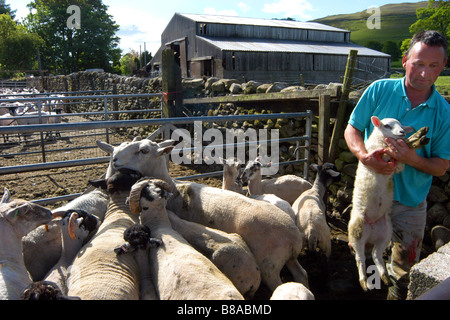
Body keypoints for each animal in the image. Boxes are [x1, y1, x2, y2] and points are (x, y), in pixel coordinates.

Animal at [97, 138, 310, 292]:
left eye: (144, 150)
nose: (115, 160)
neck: (175, 191)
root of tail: (293, 236)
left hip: (269, 266)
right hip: (289, 259)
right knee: (302, 276)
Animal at [348, 116, 414, 292]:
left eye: (401, 125)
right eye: (387, 126)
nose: (402, 132)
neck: (382, 139)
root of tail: (371, 229)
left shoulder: (397, 166)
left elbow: (399, 165)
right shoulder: (374, 151)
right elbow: (383, 152)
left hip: (385, 232)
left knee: (376, 255)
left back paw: (385, 277)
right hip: (357, 230)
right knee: (360, 257)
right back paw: (364, 281)